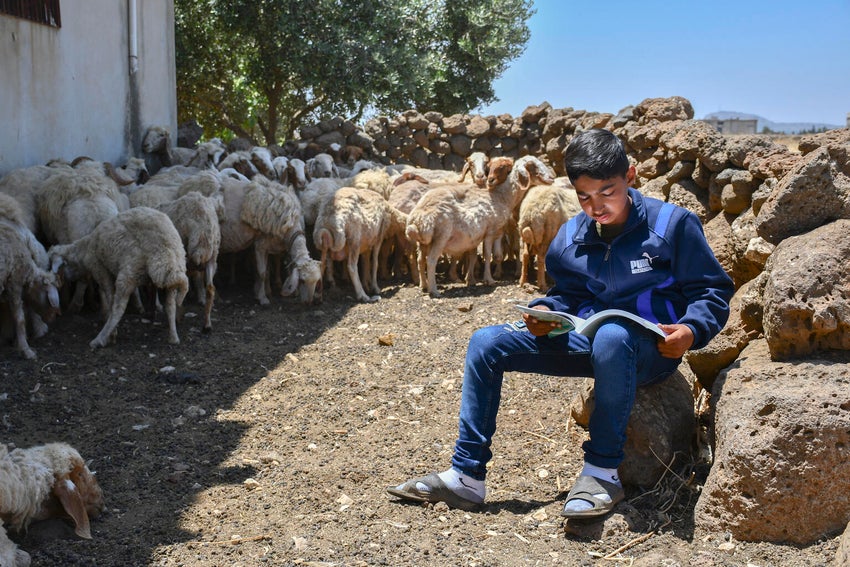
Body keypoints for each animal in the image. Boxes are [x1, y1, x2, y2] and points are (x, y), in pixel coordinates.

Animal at [50, 206, 190, 348]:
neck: (84, 250)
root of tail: (166, 249)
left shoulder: (100, 269)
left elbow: (109, 298)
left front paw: (111, 329)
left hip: (129, 271)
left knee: (119, 308)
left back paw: (100, 339)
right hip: (173, 272)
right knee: (171, 305)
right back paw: (173, 337)